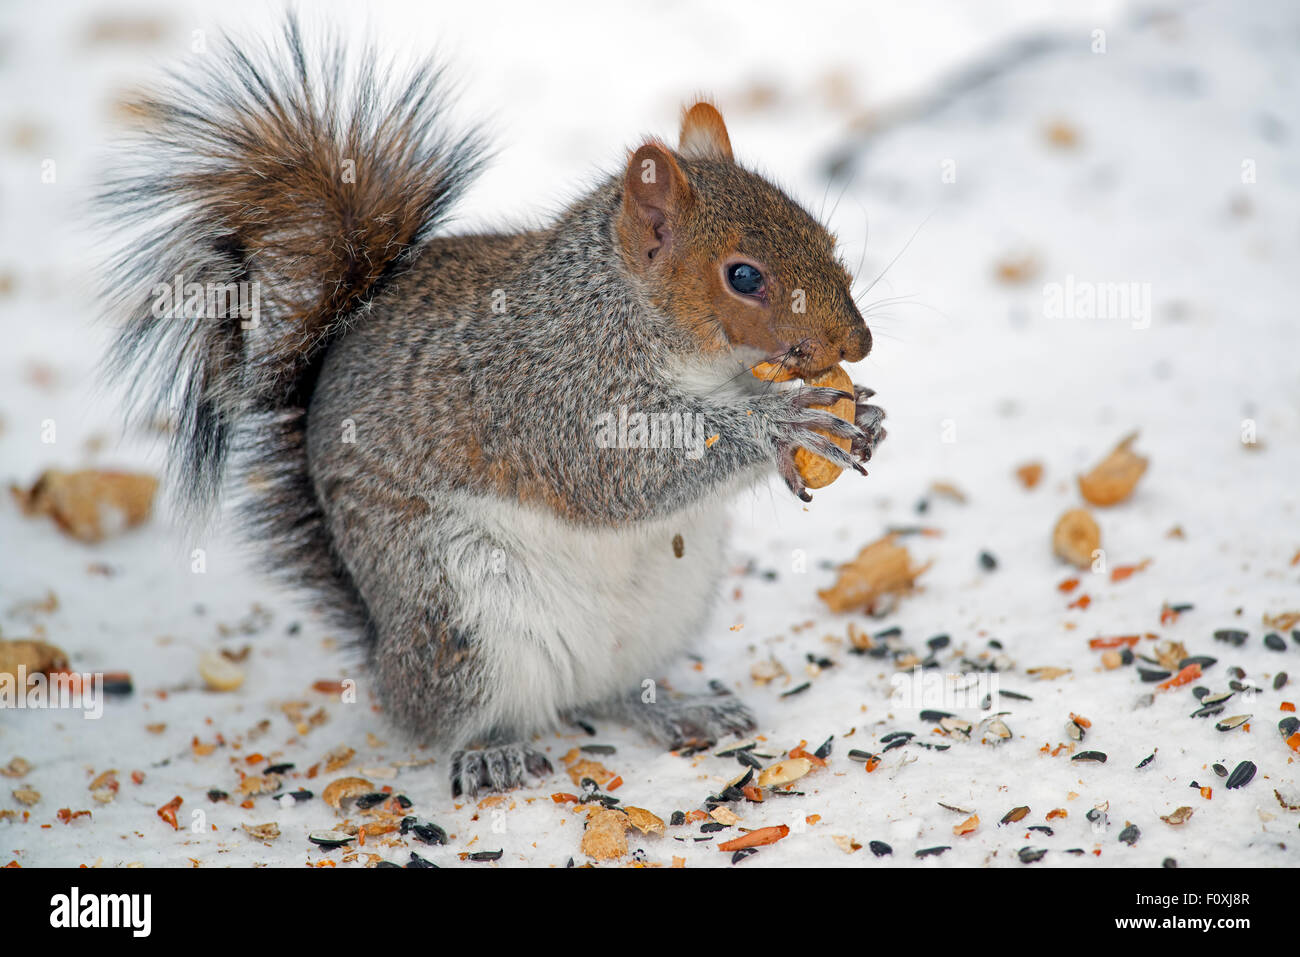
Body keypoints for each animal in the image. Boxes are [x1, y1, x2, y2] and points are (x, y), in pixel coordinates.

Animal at [99, 16, 885, 796]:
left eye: (825, 238)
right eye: (744, 277)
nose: (860, 342)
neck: (627, 313)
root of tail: (386, 658)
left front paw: (865, 417)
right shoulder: (547, 394)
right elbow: (625, 472)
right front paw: (781, 424)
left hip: (664, 608)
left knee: (613, 691)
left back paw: (675, 710)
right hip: (458, 615)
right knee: (456, 716)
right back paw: (491, 751)